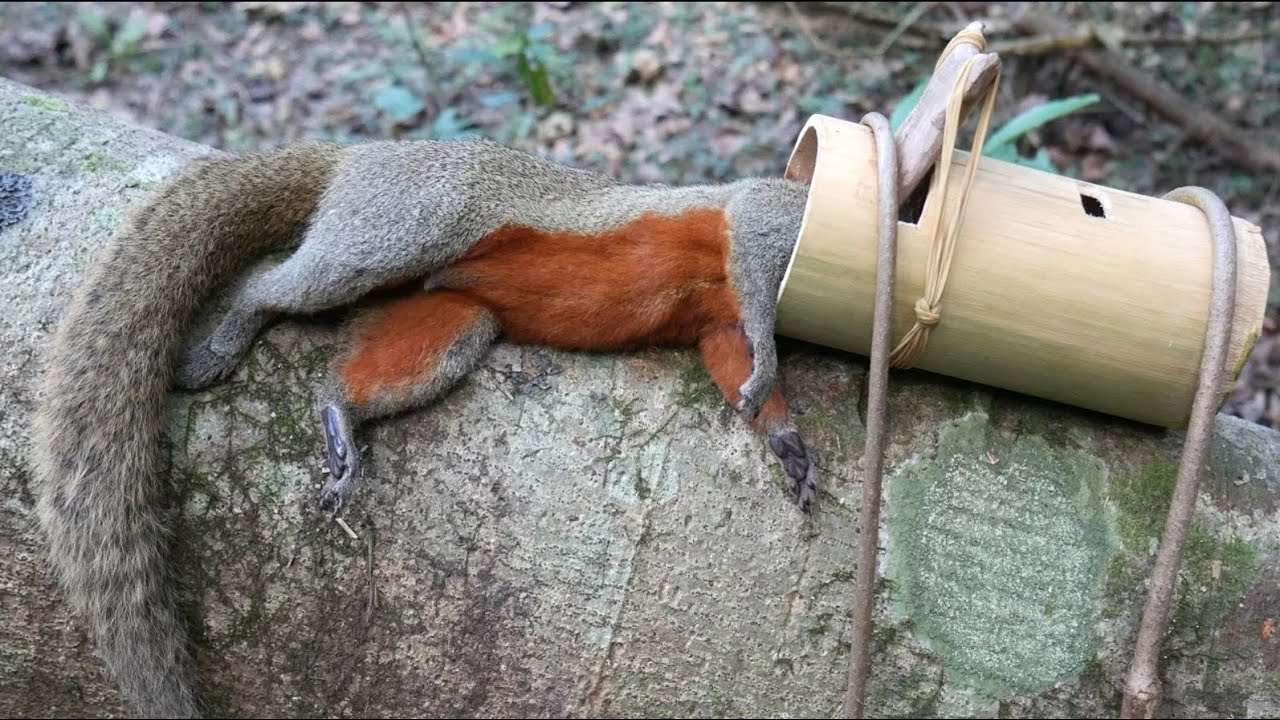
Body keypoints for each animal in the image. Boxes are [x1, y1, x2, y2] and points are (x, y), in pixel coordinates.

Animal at [29, 137, 820, 718]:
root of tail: (356, 158)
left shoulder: (717, 325)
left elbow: (731, 359)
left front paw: (783, 438)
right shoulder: (769, 220)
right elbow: (753, 253)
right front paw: (770, 365)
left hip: (449, 314)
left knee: (377, 364)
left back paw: (340, 422)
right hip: (404, 225)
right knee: (280, 283)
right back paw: (234, 335)